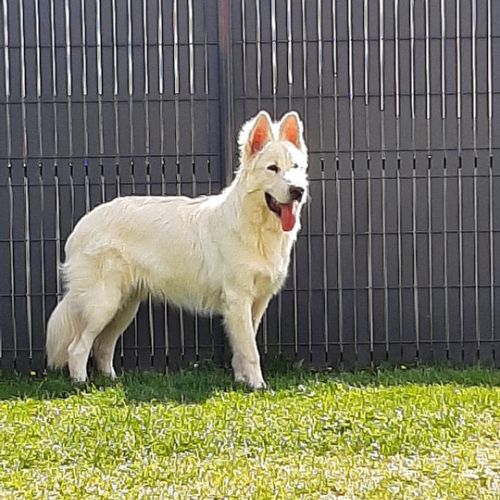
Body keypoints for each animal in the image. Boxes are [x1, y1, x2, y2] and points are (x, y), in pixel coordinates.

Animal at [46, 111, 309, 389]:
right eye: (273, 168)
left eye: (296, 167)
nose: (298, 190)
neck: (255, 227)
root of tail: (81, 226)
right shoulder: (238, 299)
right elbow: (250, 350)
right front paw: (258, 386)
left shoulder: (255, 303)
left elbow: (241, 348)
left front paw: (240, 381)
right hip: (103, 304)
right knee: (78, 348)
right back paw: (81, 384)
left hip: (124, 307)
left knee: (102, 346)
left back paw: (111, 382)